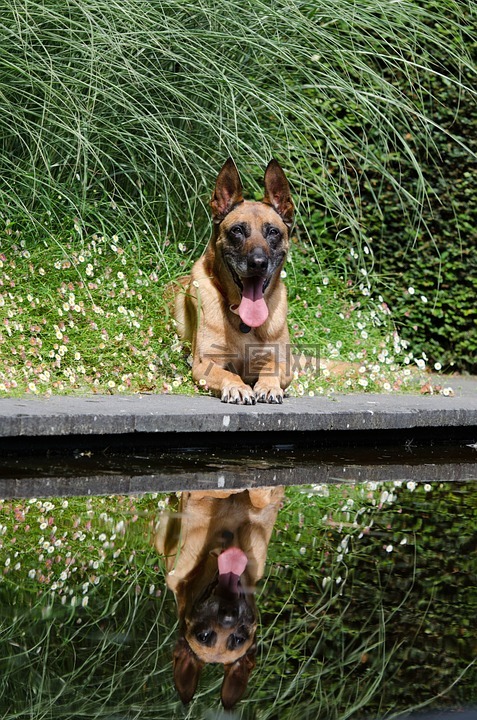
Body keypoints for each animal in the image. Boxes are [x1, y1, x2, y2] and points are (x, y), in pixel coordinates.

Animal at [174, 159, 294, 404]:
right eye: (237, 230)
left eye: (273, 232)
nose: (258, 263)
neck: (245, 324)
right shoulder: (204, 364)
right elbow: (228, 373)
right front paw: (237, 387)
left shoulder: (283, 363)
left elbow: (271, 368)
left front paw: (268, 387)